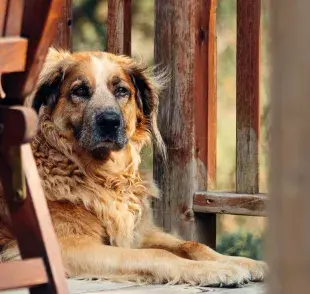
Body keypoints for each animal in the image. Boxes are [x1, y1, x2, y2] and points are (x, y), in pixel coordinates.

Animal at [0, 49, 266, 286]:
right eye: (80, 91)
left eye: (121, 91)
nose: (109, 121)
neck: (103, 174)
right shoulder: (69, 247)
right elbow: (158, 254)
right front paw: (215, 270)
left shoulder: (138, 232)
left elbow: (191, 244)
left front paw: (239, 261)